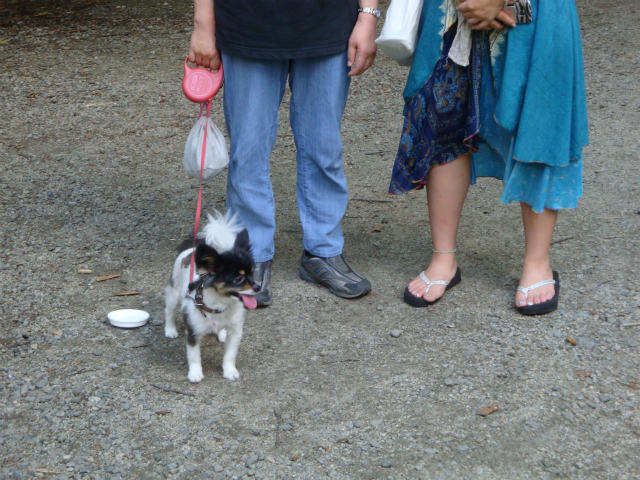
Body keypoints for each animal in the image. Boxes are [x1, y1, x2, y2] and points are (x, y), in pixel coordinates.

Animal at [164, 211, 258, 382]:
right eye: (238, 278)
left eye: (253, 273)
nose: (258, 286)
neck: (221, 304)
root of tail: (192, 249)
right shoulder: (193, 332)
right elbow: (194, 356)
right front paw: (195, 373)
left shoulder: (235, 332)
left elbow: (230, 355)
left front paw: (229, 371)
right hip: (174, 293)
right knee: (169, 310)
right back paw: (170, 329)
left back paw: (221, 334)